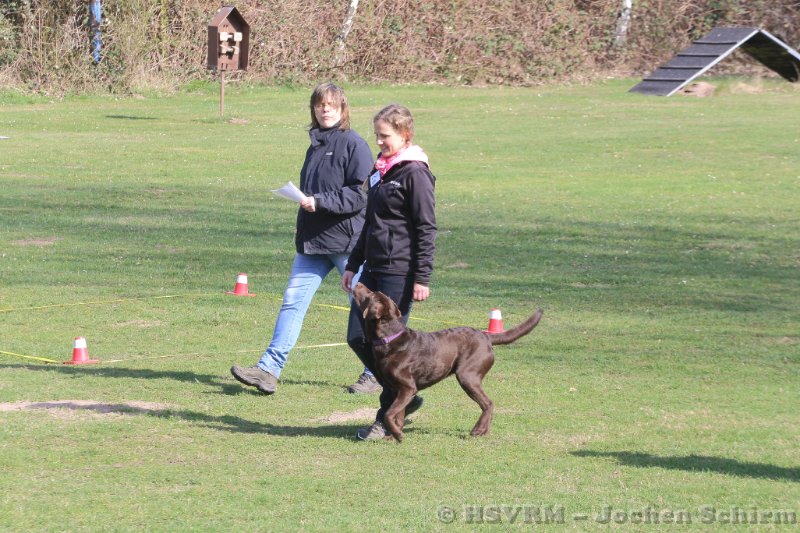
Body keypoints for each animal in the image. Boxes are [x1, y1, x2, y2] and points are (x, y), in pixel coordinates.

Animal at [352, 283, 543, 441]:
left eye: (369, 294)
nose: (358, 282)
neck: (389, 337)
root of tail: (486, 336)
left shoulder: (407, 388)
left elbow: (389, 413)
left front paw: (398, 435)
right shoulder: (395, 389)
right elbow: (396, 414)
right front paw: (393, 436)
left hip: (467, 375)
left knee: (488, 403)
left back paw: (477, 430)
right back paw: (484, 431)